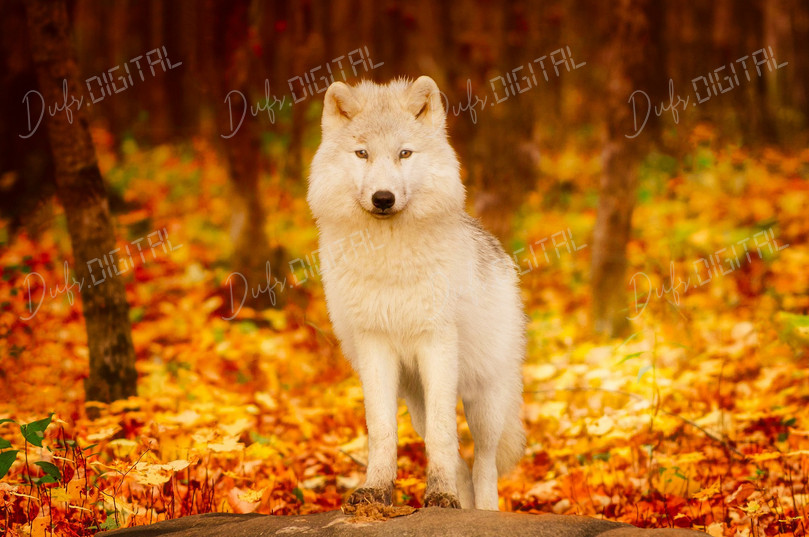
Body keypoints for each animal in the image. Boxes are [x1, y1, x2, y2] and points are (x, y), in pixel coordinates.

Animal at [307, 76, 525, 510]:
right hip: (416, 401)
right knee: (461, 462)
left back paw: (483, 510)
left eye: (404, 153)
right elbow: (382, 431)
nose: (383, 198)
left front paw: (439, 495)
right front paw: (376, 491)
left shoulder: (436, 342)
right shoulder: (375, 346)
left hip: (485, 402)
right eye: (362, 154)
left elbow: (444, 435)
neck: (390, 260)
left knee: (484, 462)